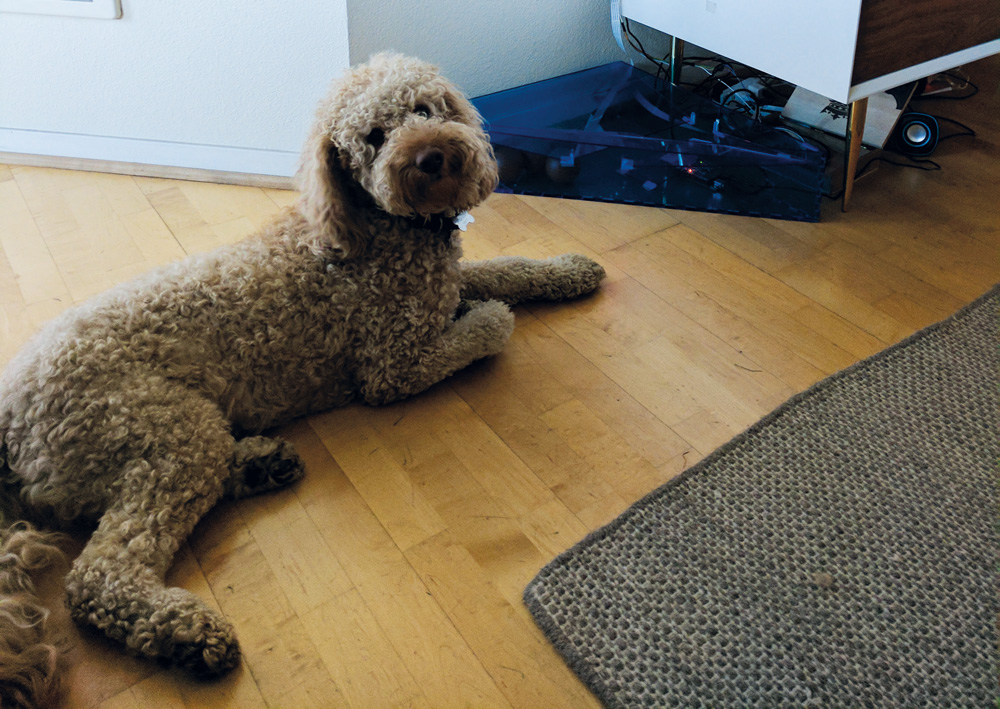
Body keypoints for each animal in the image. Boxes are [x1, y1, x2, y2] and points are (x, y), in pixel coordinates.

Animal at [0, 52, 604, 704]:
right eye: (373, 137)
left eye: (424, 108)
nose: (430, 156)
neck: (380, 226)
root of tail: (9, 414)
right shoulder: (394, 366)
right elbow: (488, 325)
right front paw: (492, 316)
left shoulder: (439, 291)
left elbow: (505, 268)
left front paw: (567, 268)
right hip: (160, 430)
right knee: (98, 575)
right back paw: (186, 635)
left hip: (174, 442)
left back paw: (260, 464)